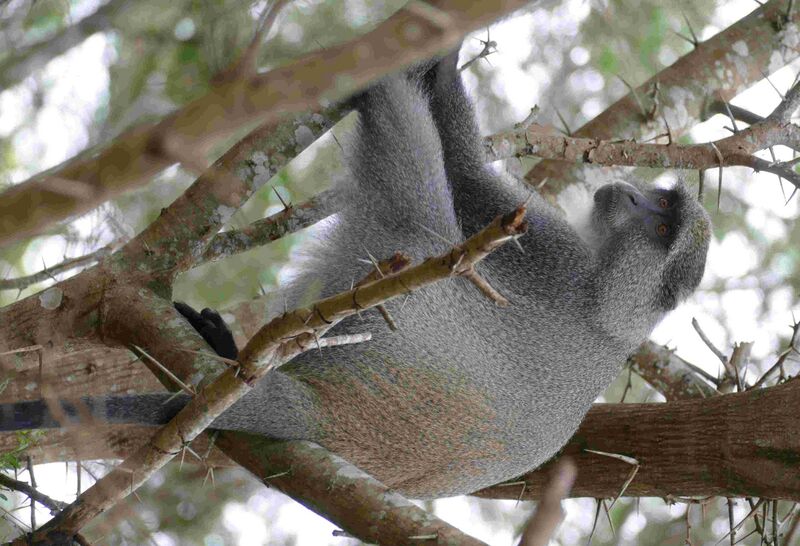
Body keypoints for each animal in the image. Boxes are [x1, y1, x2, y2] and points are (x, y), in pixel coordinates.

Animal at [0, 48, 710, 499]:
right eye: (658, 202)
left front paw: (433, 49)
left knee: (421, 224)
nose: (628, 192)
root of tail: (322, 425)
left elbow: (463, 179)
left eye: (659, 220)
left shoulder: (555, 263)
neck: (618, 312)